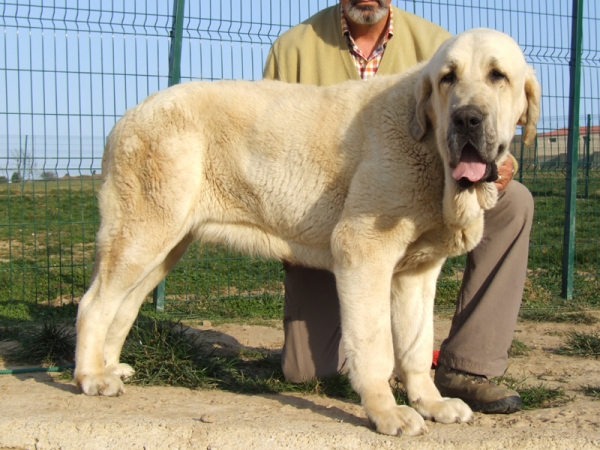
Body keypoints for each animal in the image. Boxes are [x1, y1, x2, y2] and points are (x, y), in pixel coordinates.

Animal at [74, 28, 540, 436]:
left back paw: (109, 367)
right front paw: (387, 413)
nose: (467, 119)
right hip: (144, 231)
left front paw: (431, 402)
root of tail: (129, 115)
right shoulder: (362, 250)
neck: (429, 145)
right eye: (448, 78)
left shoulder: (416, 275)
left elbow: (415, 346)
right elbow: (376, 347)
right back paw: (90, 377)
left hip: (163, 243)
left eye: (498, 76)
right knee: (94, 304)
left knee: (125, 305)